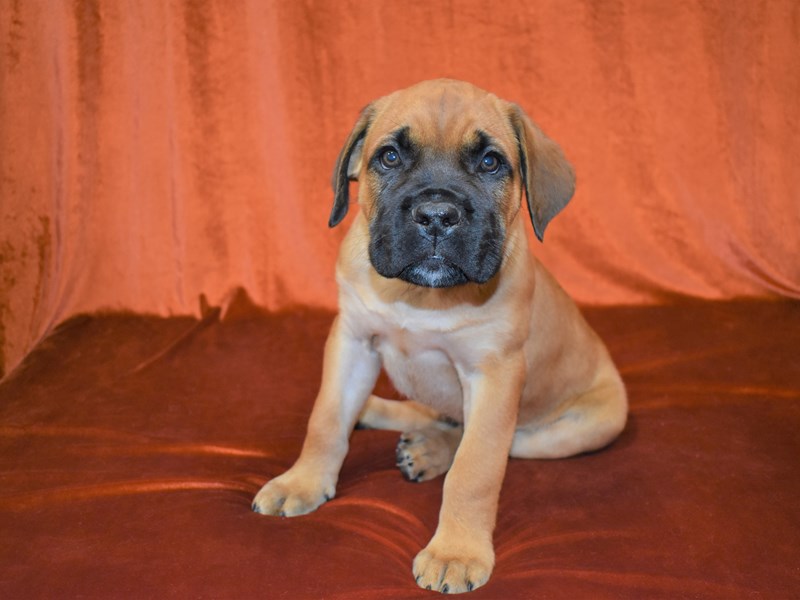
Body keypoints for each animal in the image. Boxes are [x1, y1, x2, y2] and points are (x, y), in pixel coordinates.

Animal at [253, 81, 628, 596]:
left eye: (490, 162)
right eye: (389, 157)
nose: (435, 215)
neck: (424, 296)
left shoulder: (494, 374)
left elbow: (476, 466)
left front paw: (456, 552)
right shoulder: (352, 342)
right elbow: (325, 420)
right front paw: (302, 482)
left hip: (587, 427)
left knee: (496, 441)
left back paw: (429, 450)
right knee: (431, 412)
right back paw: (378, 413)